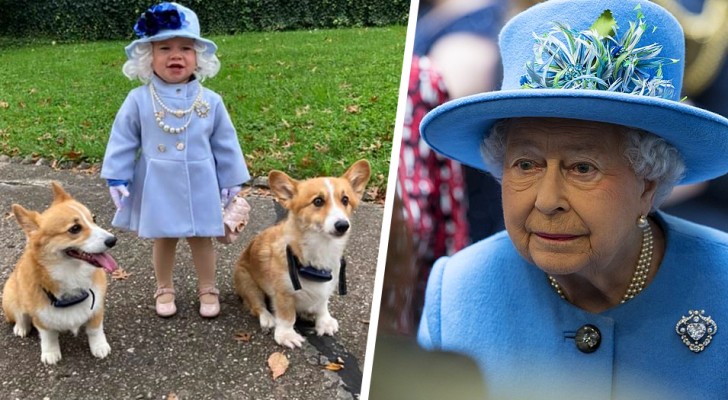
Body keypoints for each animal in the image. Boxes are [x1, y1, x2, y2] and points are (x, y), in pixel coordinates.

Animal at [2, 183, 118, 364]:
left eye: (94, 219)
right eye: (75, 228)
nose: (113, 240)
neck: (72, 274)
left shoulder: (97, 308)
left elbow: (95, 329)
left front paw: (99, 346)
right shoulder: (41, 318)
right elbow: (48, 336)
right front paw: (50, 353)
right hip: (10, 296)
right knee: (20, 315)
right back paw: (21, 327)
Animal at [233, 159, 370, 346]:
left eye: (345, 200)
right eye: (318, 201)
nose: (343, 225)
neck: (321, 248)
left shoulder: (326, 287)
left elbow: (322, 305)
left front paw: (324, 321)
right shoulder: (283, 293)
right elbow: (287, 317)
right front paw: (286, 335)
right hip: (247, 282)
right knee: (257, 305)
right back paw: (268, 318)